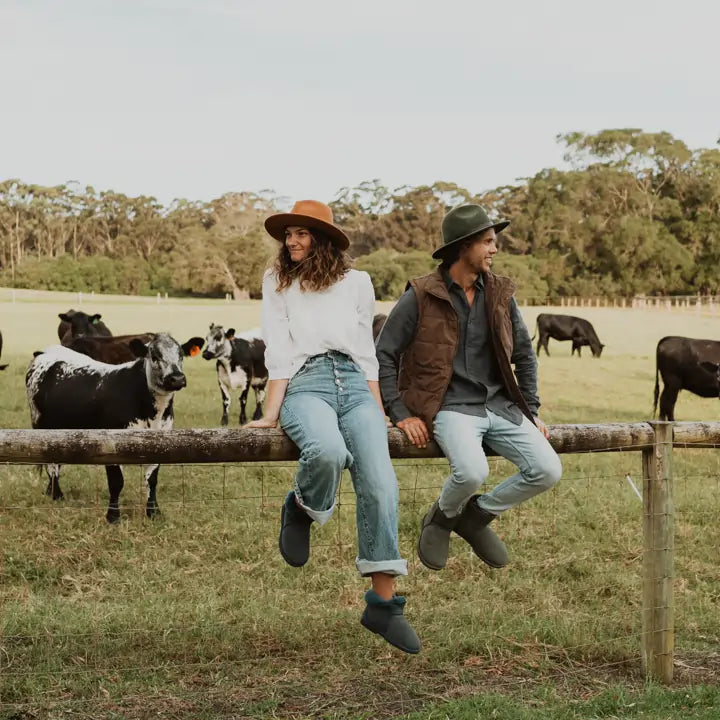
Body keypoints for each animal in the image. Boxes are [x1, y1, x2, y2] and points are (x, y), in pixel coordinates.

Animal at [26, 332, 194, 524]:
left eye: (181, 355)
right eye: (154, 356)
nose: (177, 378)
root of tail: (45, 352)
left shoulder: (161, 443)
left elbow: (152, 480)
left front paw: (153, 512)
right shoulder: (111, 445)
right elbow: (116, 482)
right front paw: (113, 516)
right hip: (42, 426)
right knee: (51, 464)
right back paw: (56, 494)